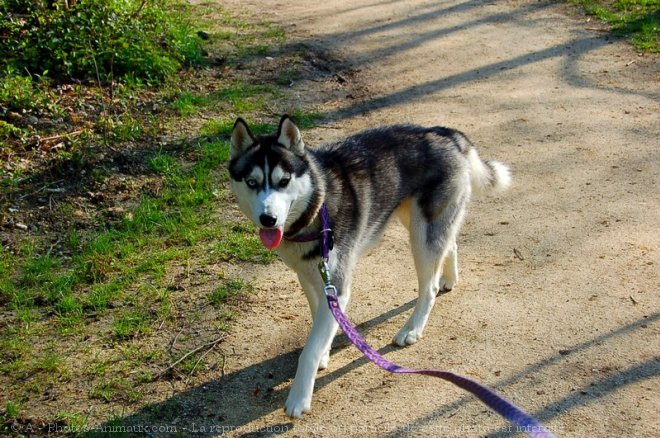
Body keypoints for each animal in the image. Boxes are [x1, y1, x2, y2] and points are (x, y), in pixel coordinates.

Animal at [229, 115, 512, 418]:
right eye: (252, 182)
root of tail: (443, 132)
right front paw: (325, 349)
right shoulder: (309, 276)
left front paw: (299, 397)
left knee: (429, 287)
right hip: (417, 221)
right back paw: (450, 277)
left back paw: (412, 328)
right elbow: (319, 321)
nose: (268, 219)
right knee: (451, 242)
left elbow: (309, 349)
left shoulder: (336, 285)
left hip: (421, 236)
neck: (318, 208)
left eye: (284, 181)